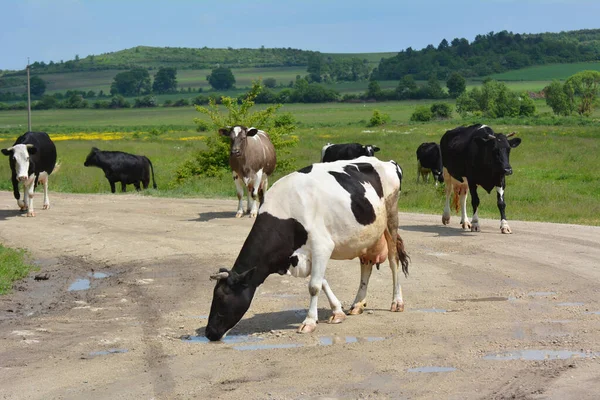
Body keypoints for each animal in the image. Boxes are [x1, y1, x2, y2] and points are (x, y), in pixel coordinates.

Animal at [204, 156, 410, 340]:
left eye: (222, 299)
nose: (209, 333)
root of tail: (388, 162)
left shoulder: (322, 246)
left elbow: (314, 286)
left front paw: (309, 322)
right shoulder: (304, 255)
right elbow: (322, 281)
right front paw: (337, 312)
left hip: (391, 217)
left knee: (393, 261)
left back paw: (397, 302)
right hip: (367, 235)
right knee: (366, 265)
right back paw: (358, 303)